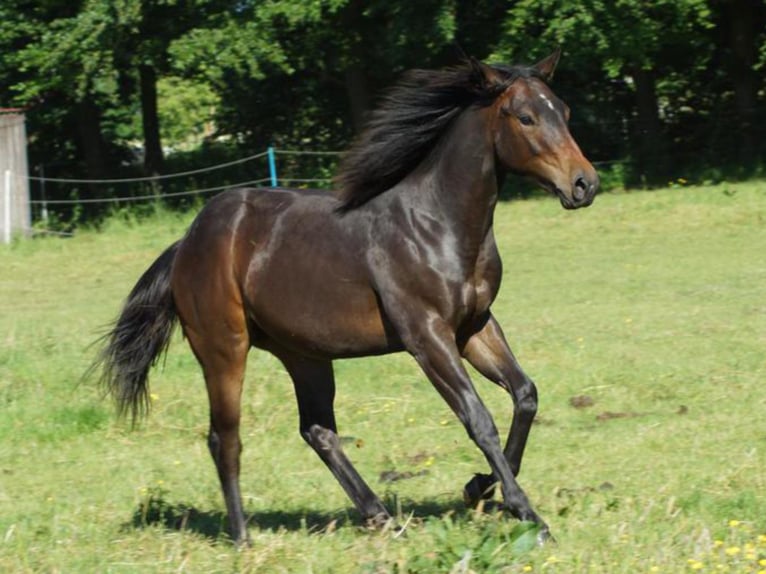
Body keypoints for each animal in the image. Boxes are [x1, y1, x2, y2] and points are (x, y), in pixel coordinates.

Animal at [95, 49, 599, 546]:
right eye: (525, 117)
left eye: (564, 112)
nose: (584, 184)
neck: (439, 223)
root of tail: (187, 243)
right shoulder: (426, 336)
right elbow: (478, 418)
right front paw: (528, 515)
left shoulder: (474, 327)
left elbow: (525, 395)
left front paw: (479, 489)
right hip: (224, 350)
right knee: (226, 437)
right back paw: (243, 539)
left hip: (305, 354)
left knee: (318, 430)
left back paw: (381, 517)